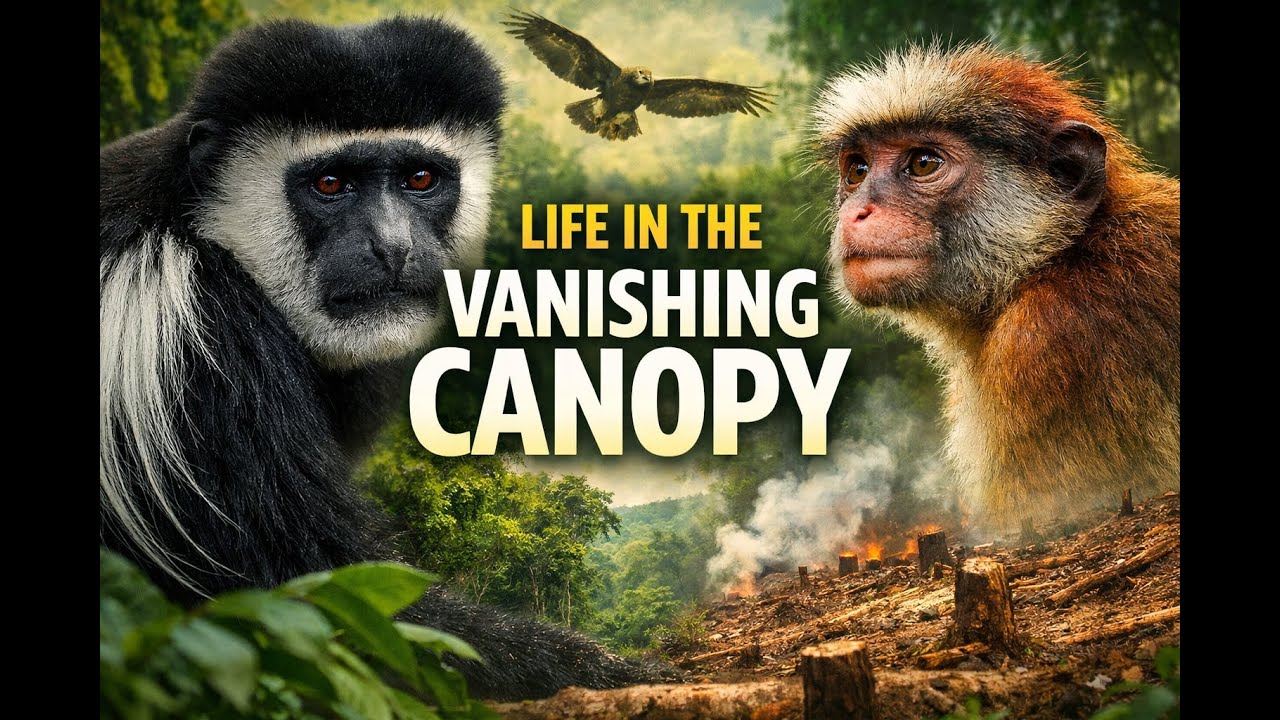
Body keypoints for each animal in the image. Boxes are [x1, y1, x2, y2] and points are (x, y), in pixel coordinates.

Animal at [99, 17, 661, 700]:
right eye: (330, 184)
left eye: (420, 179)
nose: (392, 248)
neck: (198, 221)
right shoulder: (184, 335)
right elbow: (316, 595)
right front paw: (609, 669)